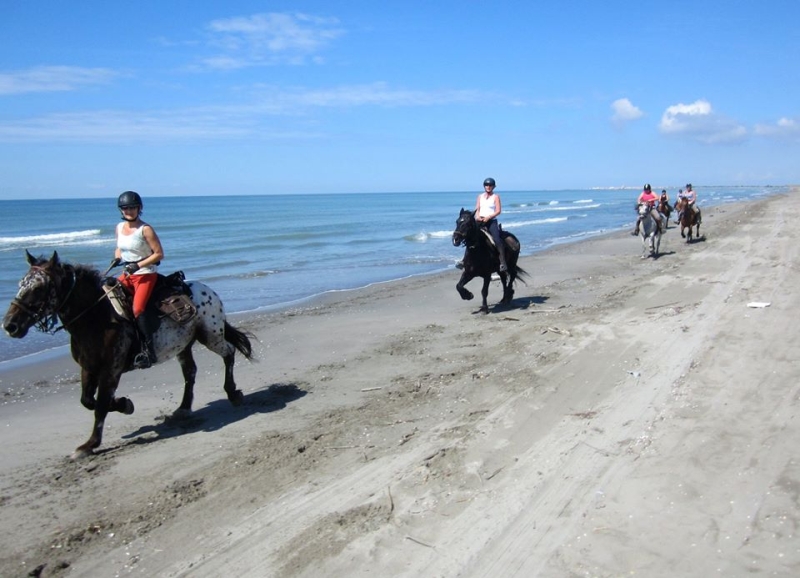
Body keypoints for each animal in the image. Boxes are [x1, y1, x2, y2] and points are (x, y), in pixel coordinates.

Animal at [2, 250, 253, 456]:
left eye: (38, 288)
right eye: (20, 284)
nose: (10, 325)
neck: (95, 317)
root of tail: (207, 289)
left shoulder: (111, 370)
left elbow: (100, 406)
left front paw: (90, 444)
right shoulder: (88, 368)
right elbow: (87, 400)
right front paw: (124, 404)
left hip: (210, 335)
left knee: (229, 353)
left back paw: (233, 393)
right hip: (183, 345)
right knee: (190, 373)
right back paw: (182, 409)